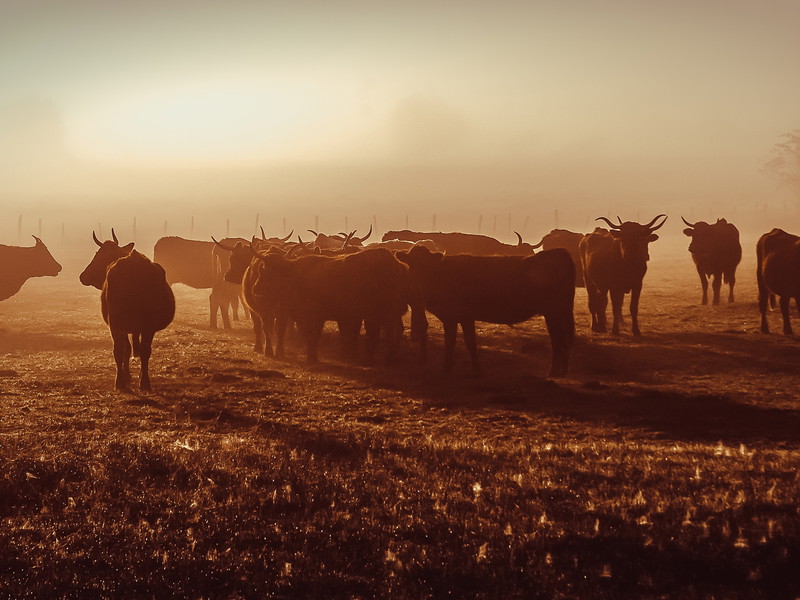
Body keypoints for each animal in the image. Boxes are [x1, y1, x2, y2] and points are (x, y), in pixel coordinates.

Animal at [79, 230, 175, 392]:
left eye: (98, 255)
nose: (83, 276)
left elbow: (127, 350)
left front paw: (128, 377)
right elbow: (128, 350)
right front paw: (129, 377)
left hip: (126, 323)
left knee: (130, 350)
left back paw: (127, 382)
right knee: (137, 350)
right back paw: (136, 381)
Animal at [395, 245, 575, 377]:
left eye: (427, 266)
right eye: (411, 264)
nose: (416, 285)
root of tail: (558, 252)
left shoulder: (453, 317)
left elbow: (452, 342)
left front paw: (446, 369)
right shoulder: (464, 317)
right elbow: (470, 342)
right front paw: (475, 369)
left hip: (555, 311)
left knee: (558, 339)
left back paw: (553, 372)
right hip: (558, 312)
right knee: (563, 338)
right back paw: (562, 371)